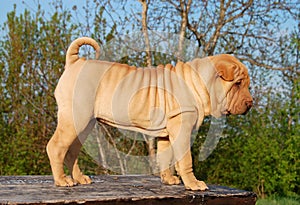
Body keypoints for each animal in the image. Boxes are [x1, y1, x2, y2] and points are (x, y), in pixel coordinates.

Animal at [47, 36, 253, 191]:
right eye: (237, 84)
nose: (250, 103)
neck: (198, 83)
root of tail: (75, 62)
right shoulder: (183, 129)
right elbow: (186, 160)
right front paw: (194, 183)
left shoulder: (168, 133)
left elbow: (166, 157)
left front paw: (169, 179)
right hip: (75, 118)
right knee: (56, 147)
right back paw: (62, 181)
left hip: (84, 123)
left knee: (71, 151)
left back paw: (79, 178)